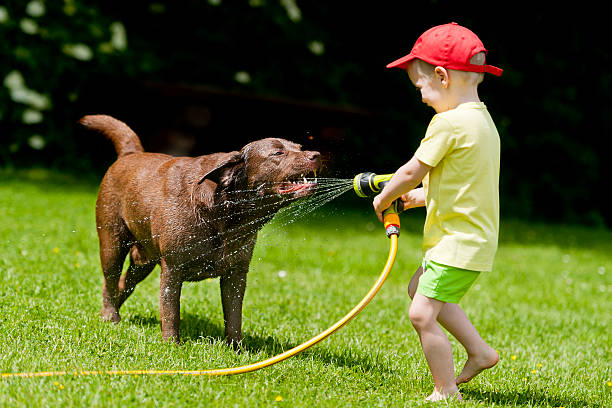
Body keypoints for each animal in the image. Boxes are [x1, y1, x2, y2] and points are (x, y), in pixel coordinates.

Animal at [80, 114, 320, 348]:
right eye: (277, 152)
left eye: (299, 147)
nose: (316, 154)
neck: (225, 213)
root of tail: (131, 154)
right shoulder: (172, 269)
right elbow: (170, 311)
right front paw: (172, 346)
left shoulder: (236, 274)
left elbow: (234, 316)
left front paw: (236, 350)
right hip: (112, 243)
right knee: (110, 281)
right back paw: (110, 316)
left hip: (143, 261)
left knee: (124, 283)